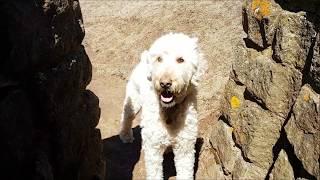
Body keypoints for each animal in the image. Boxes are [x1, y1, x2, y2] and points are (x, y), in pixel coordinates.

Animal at [119, 33, 205, 179]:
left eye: (181, 60)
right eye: (159, 59)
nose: (164, 83)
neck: (169, 109)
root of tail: (144, 58)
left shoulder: (185, 146)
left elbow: (185, 171)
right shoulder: (153, 148)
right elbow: (154, 172)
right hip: (134, 100)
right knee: (126, 116)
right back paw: (125, 135)